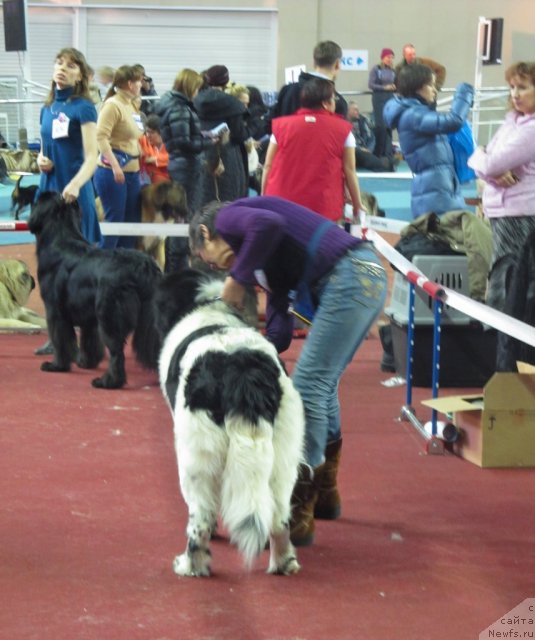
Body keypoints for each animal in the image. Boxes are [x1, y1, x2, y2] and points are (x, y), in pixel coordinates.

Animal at [28, 191, 162, 390]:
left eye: (36, 202)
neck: (60, 237)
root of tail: (143, 266)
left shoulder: (55, 310)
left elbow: (60, 339)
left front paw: (57, 365)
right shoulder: (88, 316)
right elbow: (89, 339)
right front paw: (86, 363)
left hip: (108, 313)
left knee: (116, 351)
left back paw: (107, 382)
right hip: (148, 317)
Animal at [154, 268, 306, 576]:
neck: (209, 311)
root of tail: (243, 371)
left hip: (197, 456)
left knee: (200, 518)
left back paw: (191, 565)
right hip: (285, 450)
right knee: (278, 516)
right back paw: (284, 562)